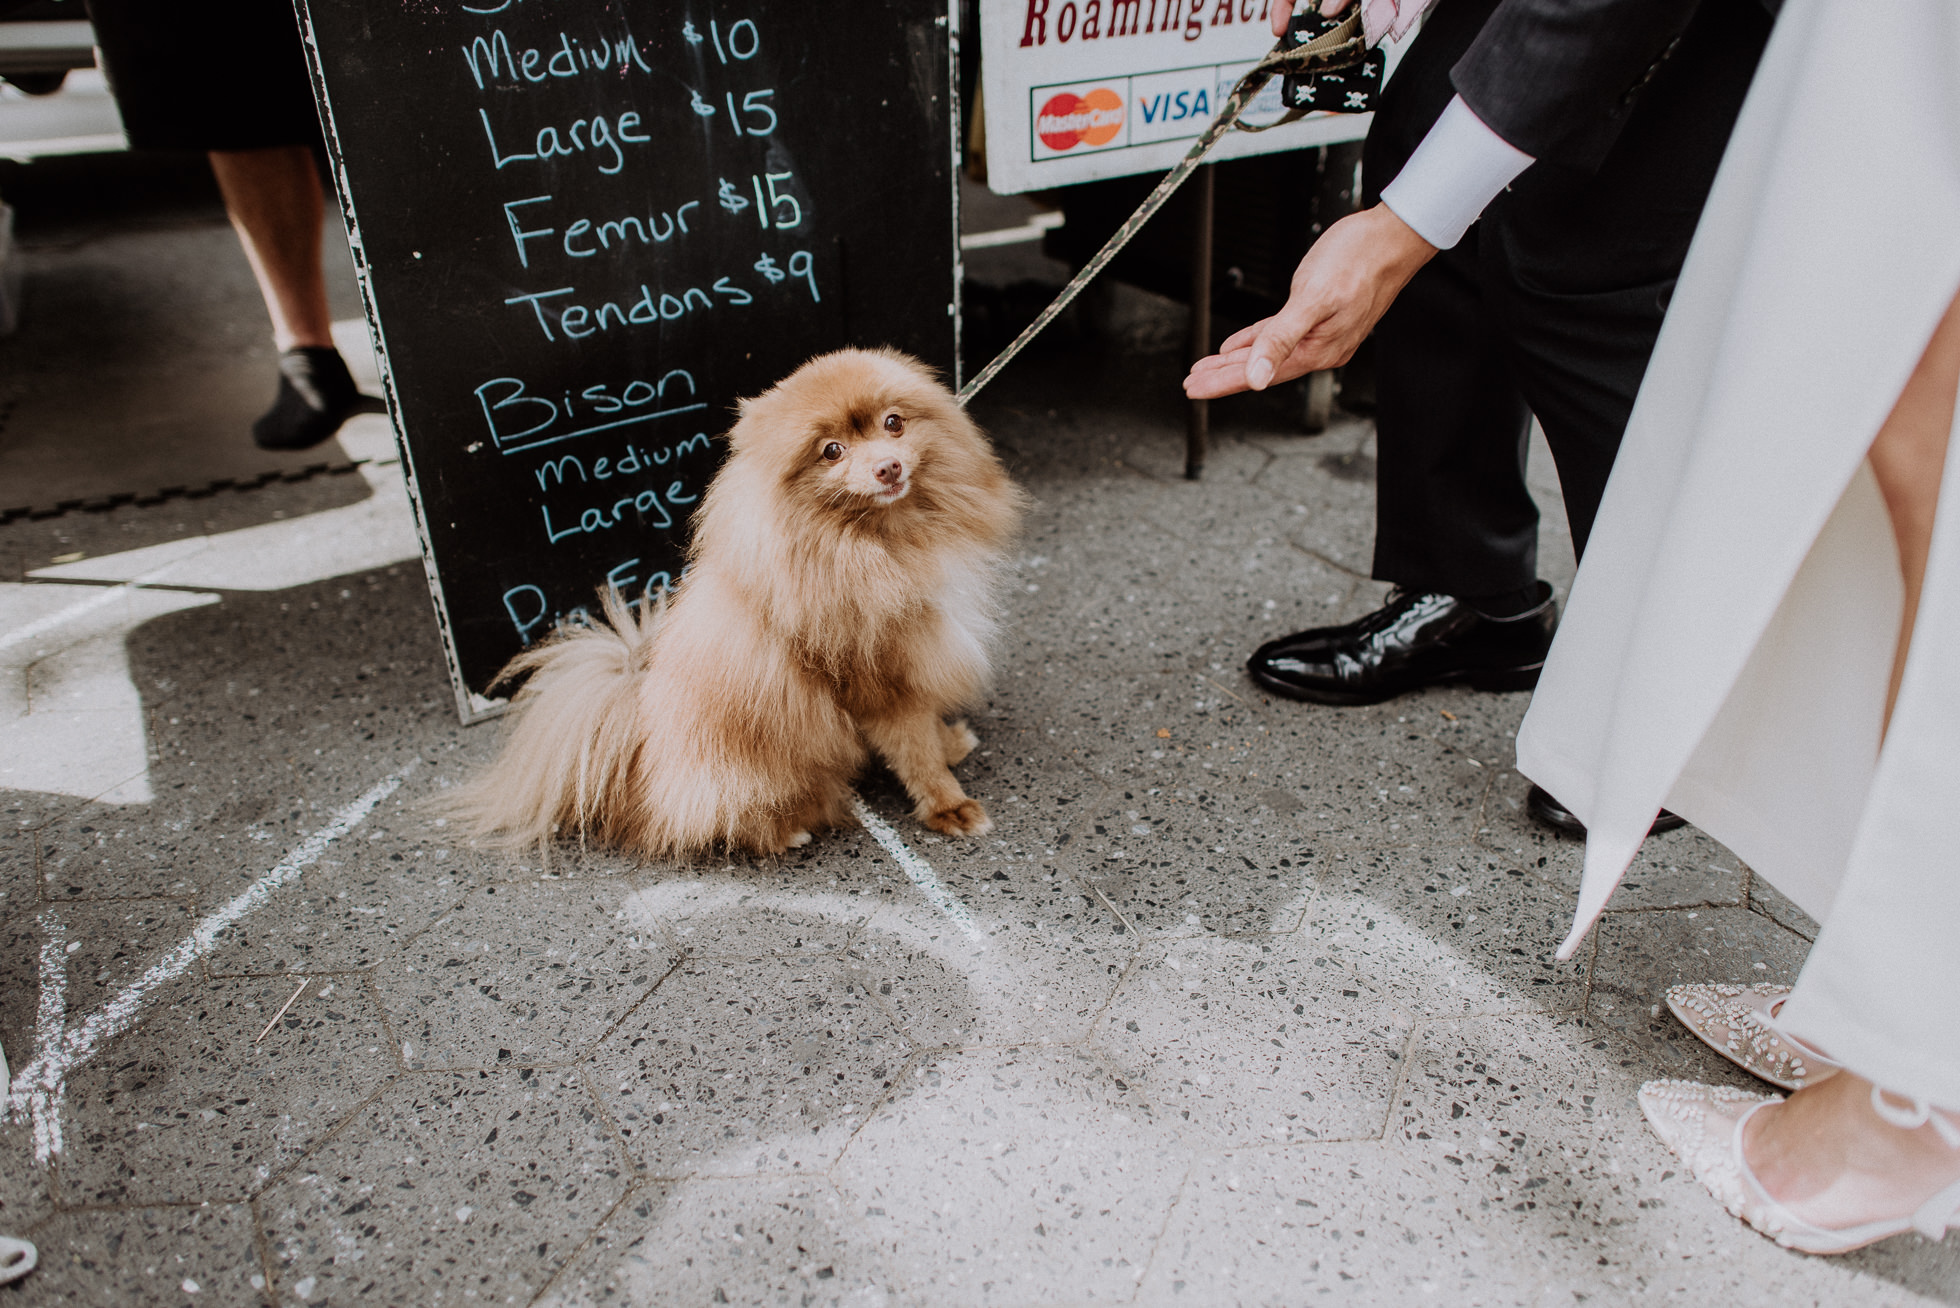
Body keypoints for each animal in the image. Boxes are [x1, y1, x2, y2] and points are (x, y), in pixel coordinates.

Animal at [454, 347, 1027, 858]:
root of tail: (637, 752)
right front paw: (948, 805)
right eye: (832, 451)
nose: (887, 467)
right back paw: (786, 831)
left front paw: (949, 744)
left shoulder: (917, 656)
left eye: (894, 423)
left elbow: (928, 729)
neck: (886, 541)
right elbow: (915, 751)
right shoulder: (877, 681)